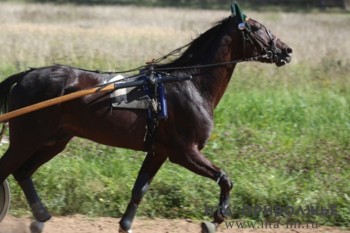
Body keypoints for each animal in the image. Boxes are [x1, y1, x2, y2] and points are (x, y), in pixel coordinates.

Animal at [0, 3, 290, 233]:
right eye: (257, 27)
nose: (287, 50)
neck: (190, 83)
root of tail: (26, 75)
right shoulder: (184, 151)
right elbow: (225, 178)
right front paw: (215, 219)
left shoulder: (158, 151)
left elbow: (140, 189)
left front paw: (125, 225)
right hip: (27, 138)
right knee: (9, 168)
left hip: (55, 140)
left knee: (23, 172)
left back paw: (40, 217)